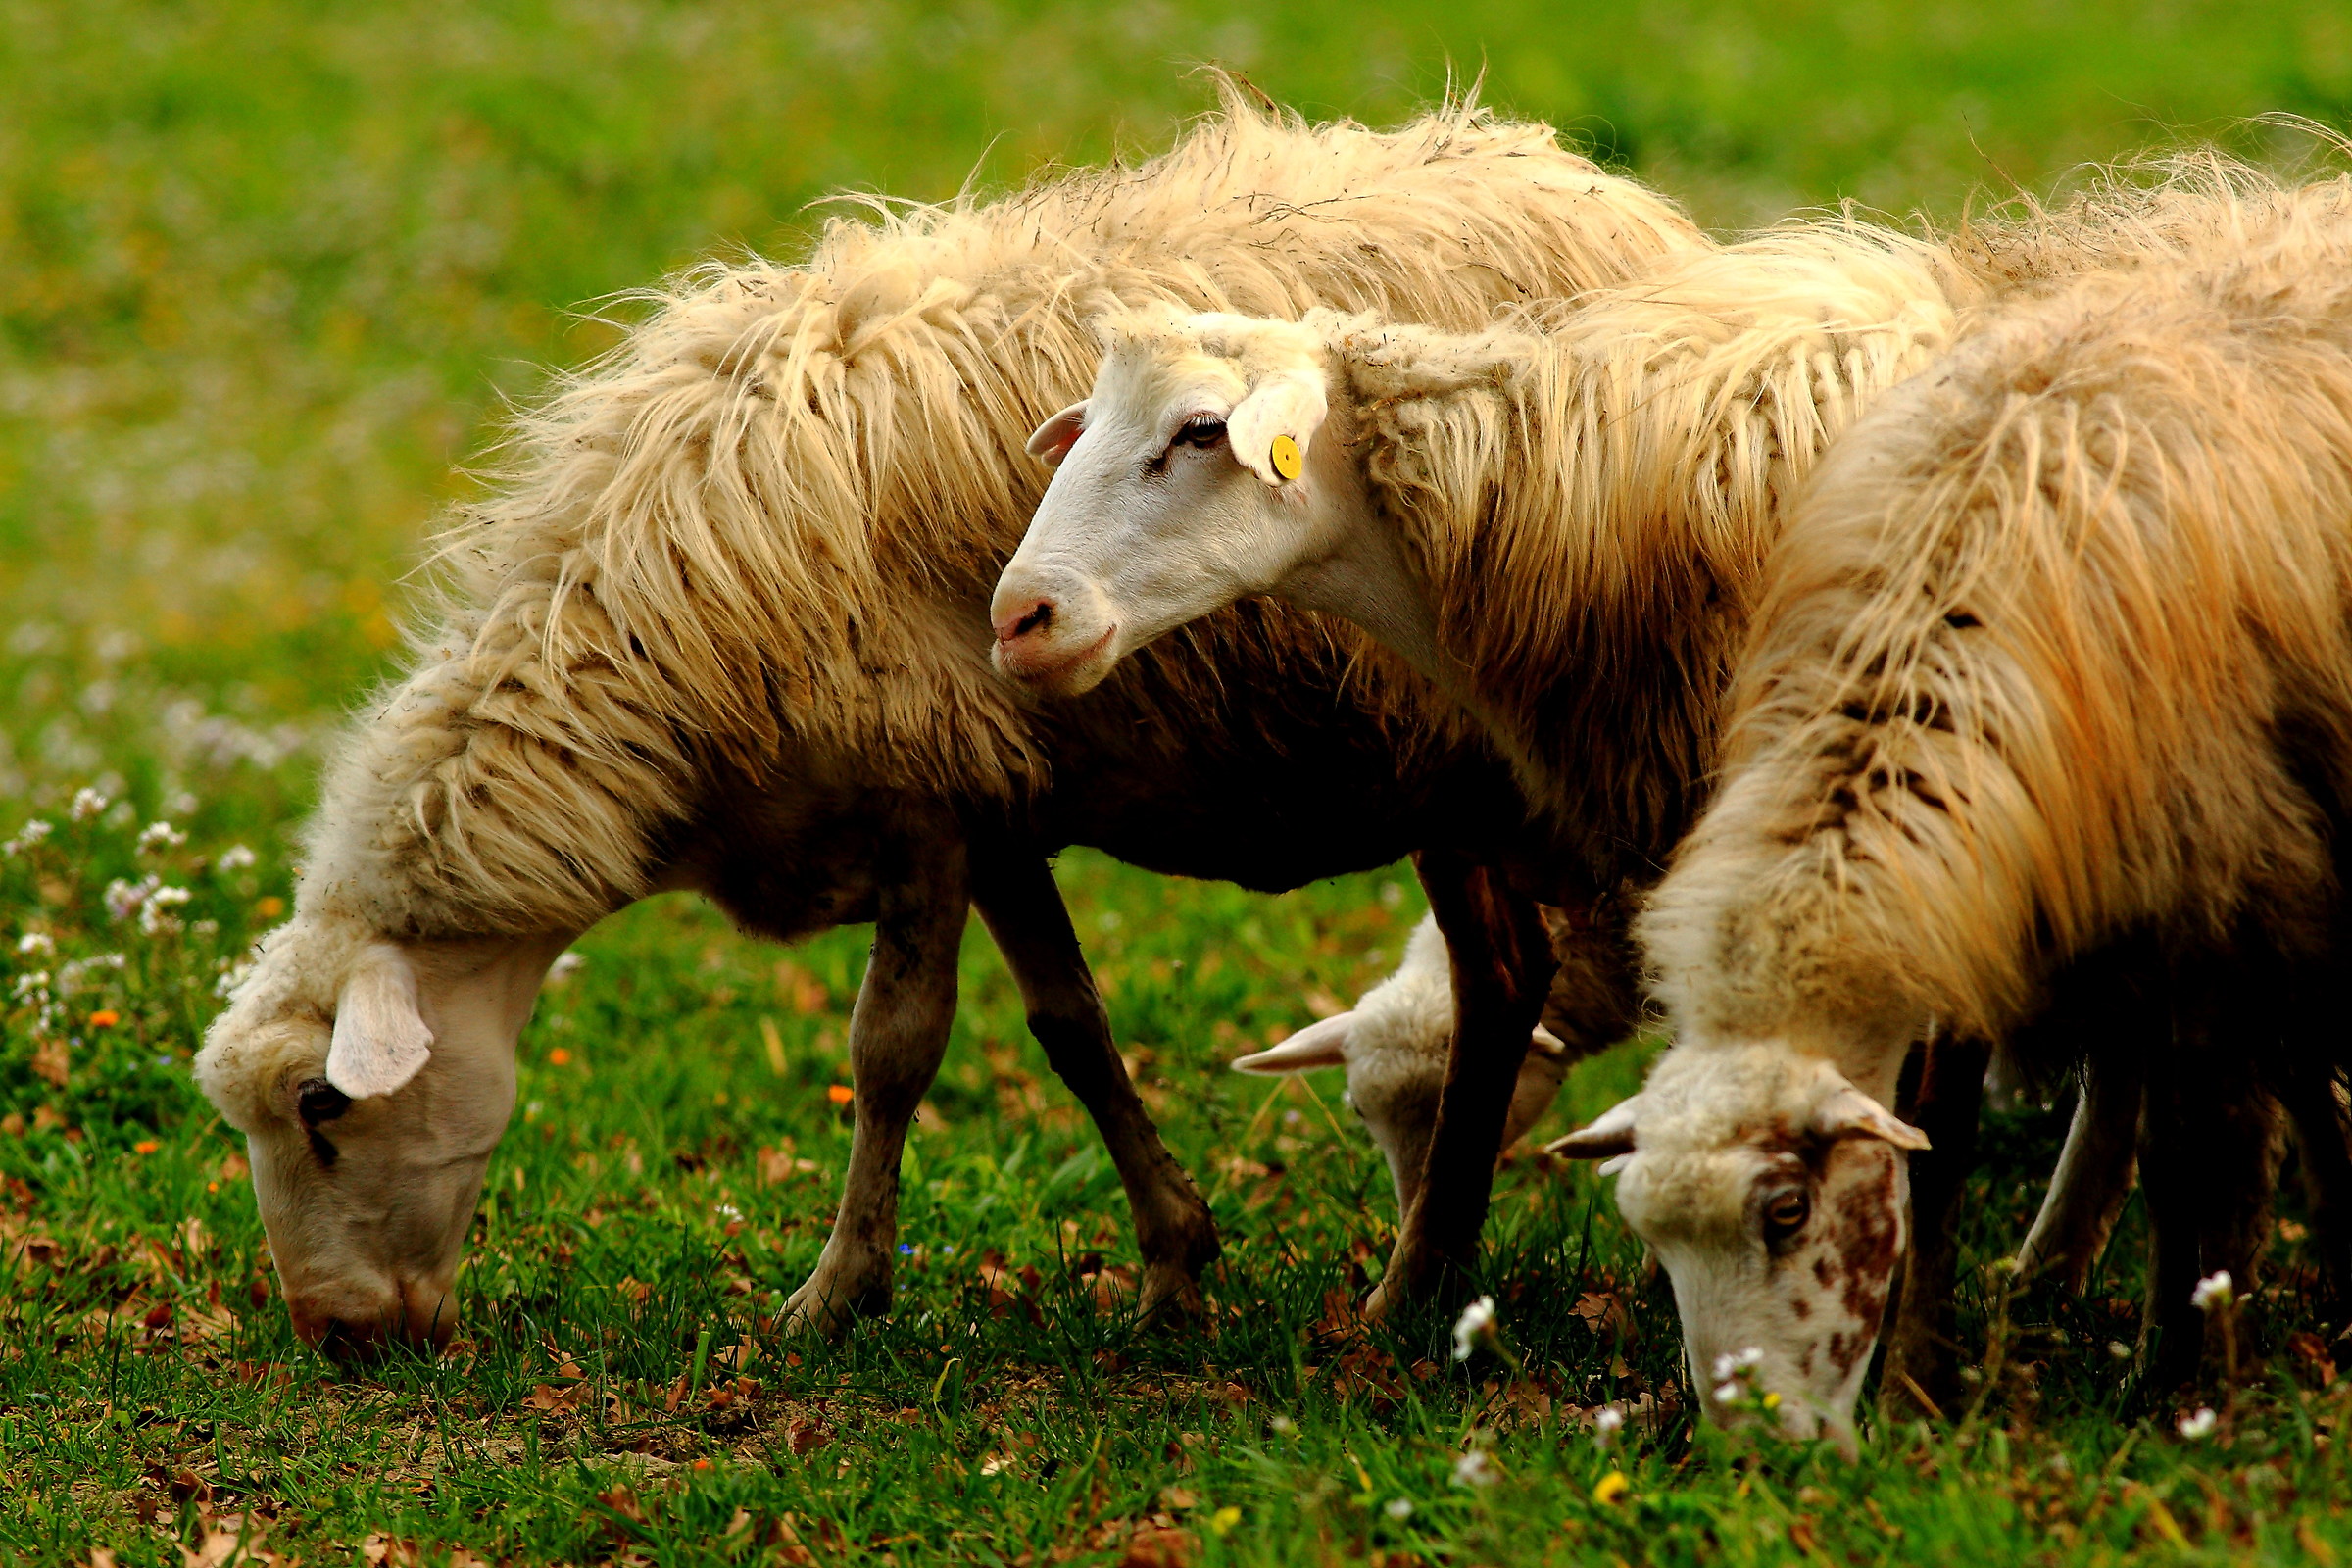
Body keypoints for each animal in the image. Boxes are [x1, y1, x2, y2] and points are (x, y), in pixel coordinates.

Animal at [191, 82, 1707, 1354]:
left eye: (322, 1108)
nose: (337, 1339)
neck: (636, 651)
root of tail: (1604, 194)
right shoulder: (996, 797)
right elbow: (1070, 1027)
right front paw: (1174, 1261)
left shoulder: (917, 796)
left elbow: (894, 1047)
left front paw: (835, 1293)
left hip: (1469, 755)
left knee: (1502, 979)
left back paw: (1423, 1284)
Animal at [1554, 159, 2352, 1431]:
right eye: (1654, 1239)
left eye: (1786, 1211)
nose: (1754, 1452)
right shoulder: (2001, 899)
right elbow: (1949, 1155)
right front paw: (1929, 1382)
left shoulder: (2228, 901)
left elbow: (2212, 1156)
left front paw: (2200, 1391)